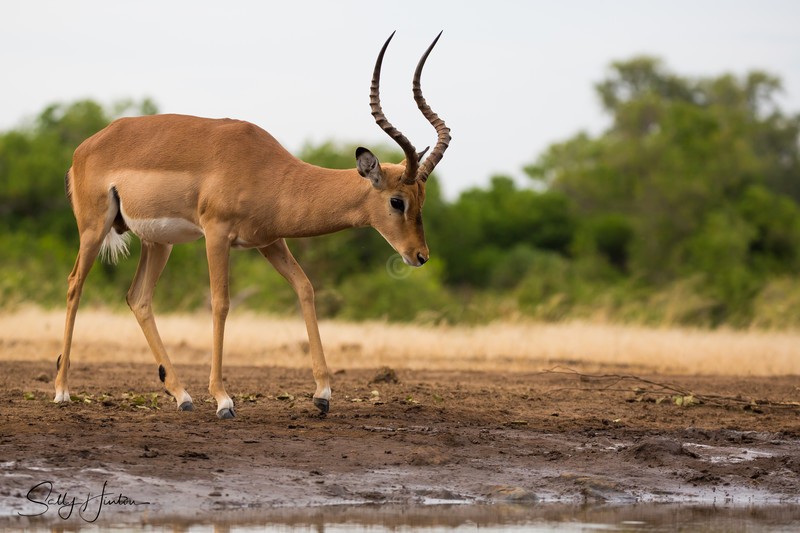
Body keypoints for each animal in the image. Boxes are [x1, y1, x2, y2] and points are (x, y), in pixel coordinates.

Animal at [54, 32, 450, 418]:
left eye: (422, 200)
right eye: (397, 201)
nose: (420, 256)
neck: (270, 172)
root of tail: (84, 148)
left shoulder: (270, 241)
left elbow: (305, 288)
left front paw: (322, 395)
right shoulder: (216, 234)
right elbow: (220, 303)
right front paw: (223, 400)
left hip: (158, 243)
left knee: (138, 298)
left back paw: (182, 396)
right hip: (94, 228)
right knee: (74, 285)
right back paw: (62, 391)